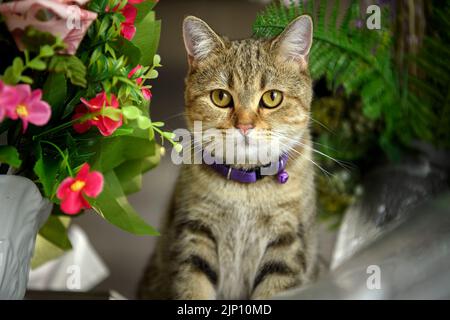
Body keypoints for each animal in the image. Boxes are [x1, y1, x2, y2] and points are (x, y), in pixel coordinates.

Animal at [139, 13, 318, 298]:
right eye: (220, 97)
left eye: (272, 97)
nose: (244, 125)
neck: (245, 191)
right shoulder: (194, 233)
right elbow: (193, 287)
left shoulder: (288, 243)